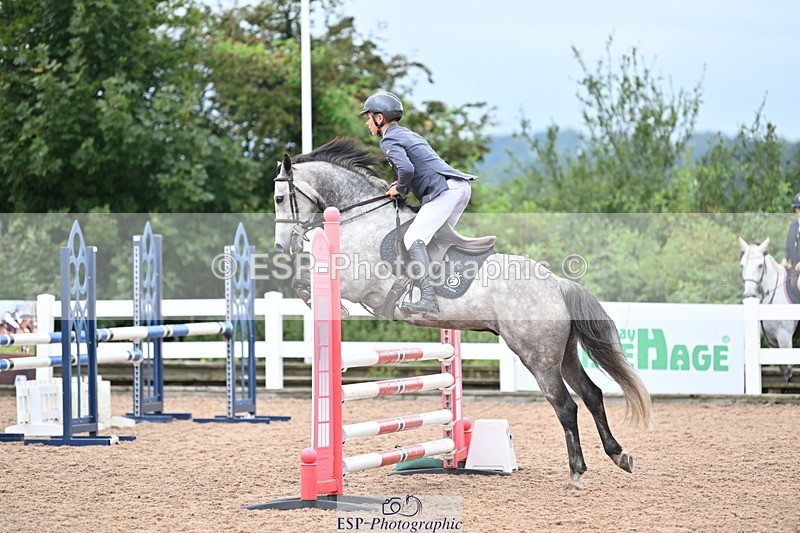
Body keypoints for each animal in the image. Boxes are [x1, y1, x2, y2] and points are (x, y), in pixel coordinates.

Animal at [272, 137, 652, 489]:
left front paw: (331, 307)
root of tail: (558, 284)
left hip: (538, 355)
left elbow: (302, 280)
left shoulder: (359, 282)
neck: (360, 218)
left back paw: (576, 472)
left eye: (278, 198)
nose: (282, 246)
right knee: (592, 394)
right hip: (565, 353)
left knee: (565, 405)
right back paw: (619, 455)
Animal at [739, 237, 797, 383]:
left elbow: (788, 372)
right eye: (742, 265)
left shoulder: (785, 338)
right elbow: (783, 370)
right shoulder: (772, 340)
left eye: (760, 265)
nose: (748, 295)